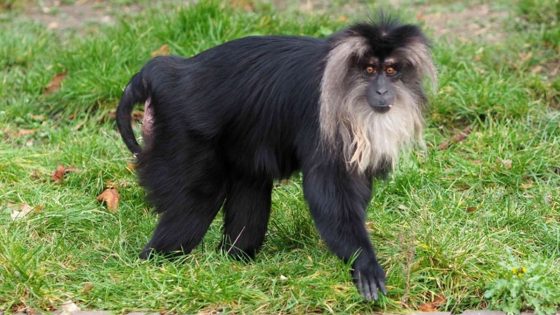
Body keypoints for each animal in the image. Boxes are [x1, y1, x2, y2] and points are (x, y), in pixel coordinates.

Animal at [115, 16, 438, 302]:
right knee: (197, 202)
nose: (383, 90)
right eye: (370, 69)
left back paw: (233, 260)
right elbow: (327, 193)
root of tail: (167, 72)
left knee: (251, 186)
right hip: (181, 131)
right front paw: (364, 263)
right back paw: (155, 261)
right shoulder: (322, 117)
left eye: (391, 70)